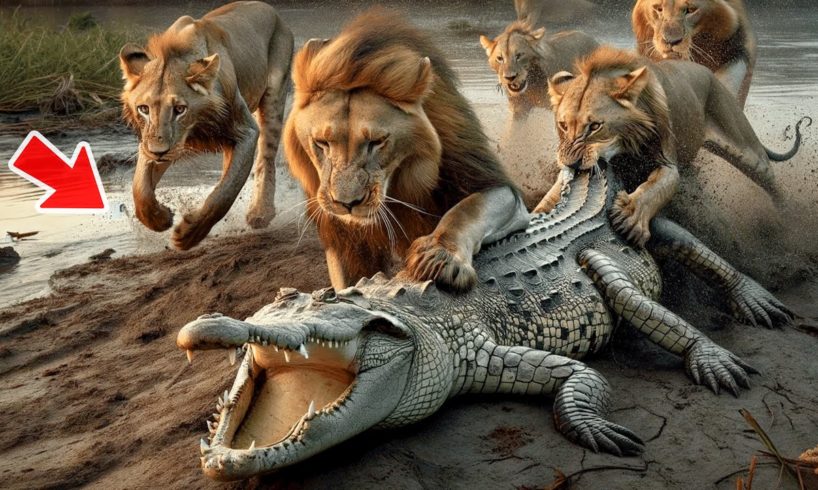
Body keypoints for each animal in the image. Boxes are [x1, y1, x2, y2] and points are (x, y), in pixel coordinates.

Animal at [119, 1, 293, 250]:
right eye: (144, 108)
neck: (195, 126)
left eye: (180, 109)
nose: (158, 151)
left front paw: (188, 235)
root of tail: (270, 9)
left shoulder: (247, 132)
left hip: (274, 96)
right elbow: (140, 187)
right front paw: (160, 218)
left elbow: (226, 191)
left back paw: (260, 213)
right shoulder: (156, 142)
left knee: (265, 159)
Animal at [283, 9, 529, 291]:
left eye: (377, 141)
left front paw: (441, 258)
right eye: (322, 142)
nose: (347, 204)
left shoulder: (497, 187)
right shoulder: (342, 236)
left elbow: (466, 210)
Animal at [535, 46, 807, 246]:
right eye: (563, 125)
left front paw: (630, 217)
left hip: (745, 149)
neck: (624, 148)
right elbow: (552, 196)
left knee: (771, 181)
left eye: (595, 126)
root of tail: (713, 76)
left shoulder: (667, 162)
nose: (570, 163)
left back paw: (791, 221)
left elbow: (654, 189)